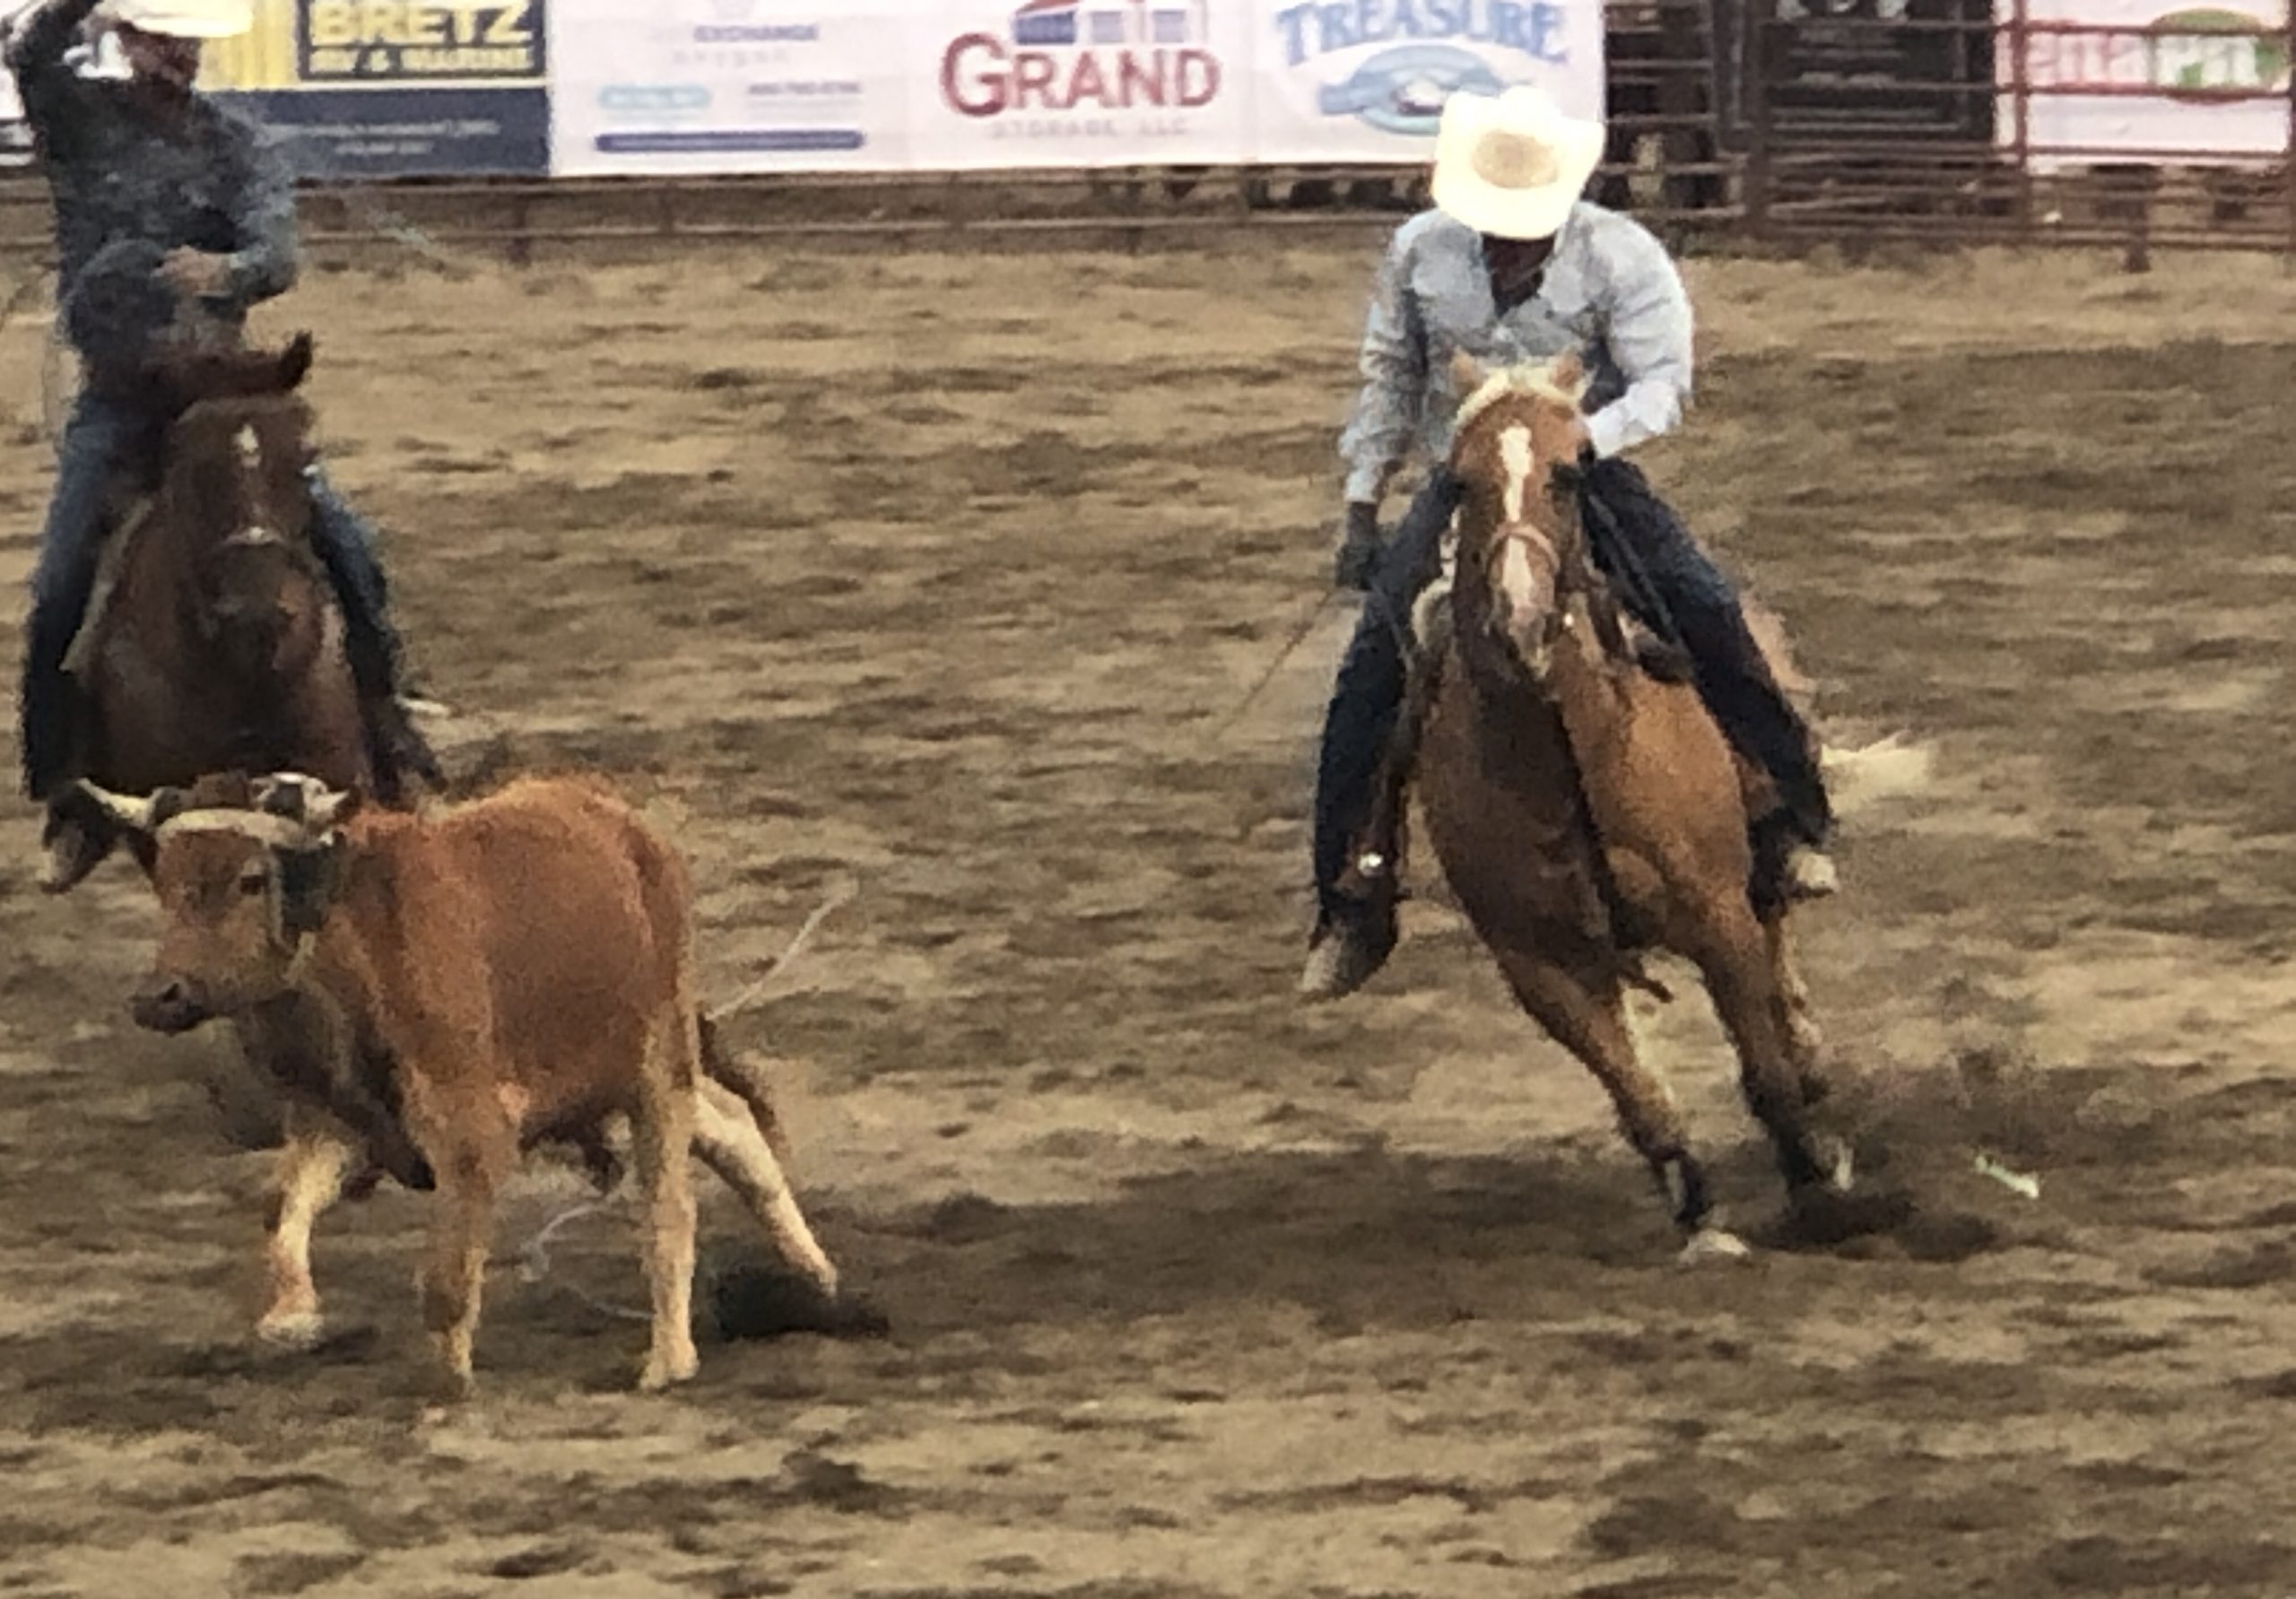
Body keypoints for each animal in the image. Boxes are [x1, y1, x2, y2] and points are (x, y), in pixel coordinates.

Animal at [87, 767, 854, 1396]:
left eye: (250, 878)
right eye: (164, 881)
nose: (159, 997)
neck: (357, 946)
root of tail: (617, 820)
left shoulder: (470, 1133)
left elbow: (447, 1280)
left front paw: (448, 1386)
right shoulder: (337, 1123)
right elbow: (283, 1212)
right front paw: (293, 1318)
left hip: (657, 1065)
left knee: (669, 1206)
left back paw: (669, 1359)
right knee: (734, 1131)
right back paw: (816, 1280)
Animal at [1387, 353, 1909, 1258]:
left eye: (1569, 474)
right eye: (1461, 480)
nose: (1521, 619)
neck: (1573, 750)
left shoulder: (1716, 913)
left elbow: (1763, 1072)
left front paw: (1817, 1183)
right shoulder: (1539, 963)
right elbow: (1641, 1100)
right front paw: (1700, 1215)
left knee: (1779, 951)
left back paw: (1814, 1069)